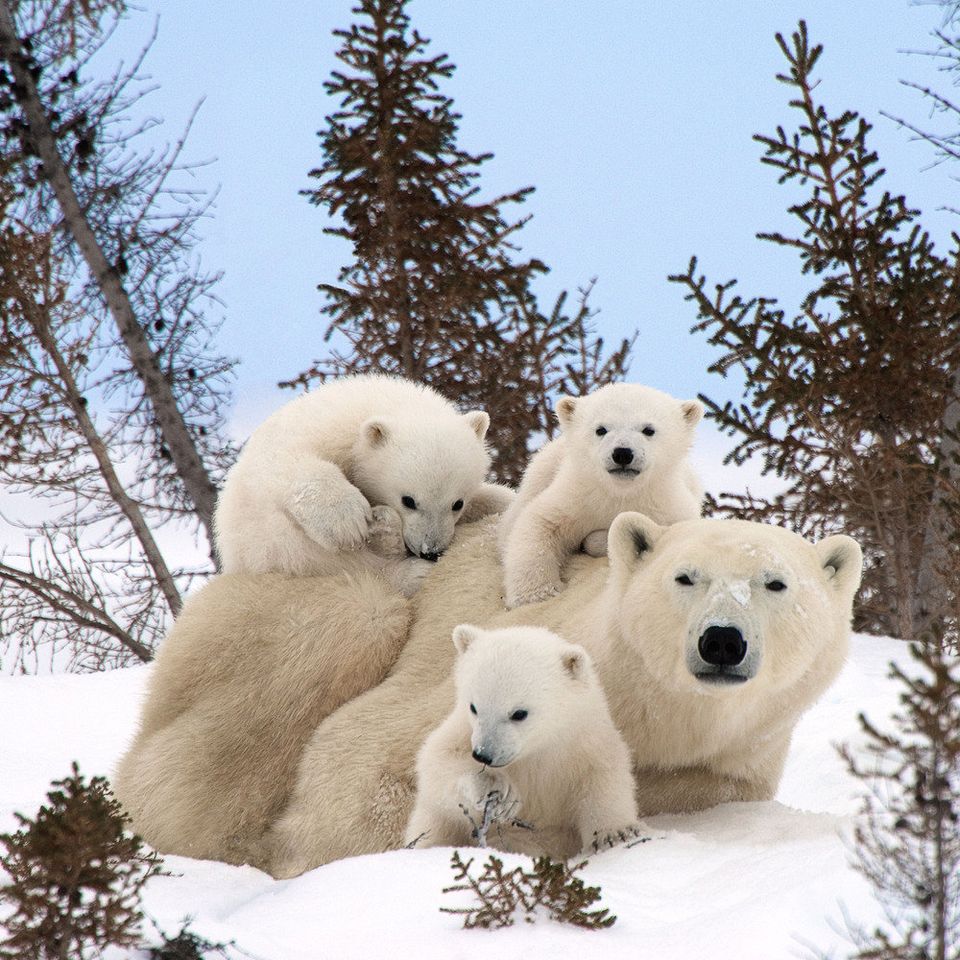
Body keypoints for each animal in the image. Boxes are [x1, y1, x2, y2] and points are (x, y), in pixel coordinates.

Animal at [210, 374, 510, 592]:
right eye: (409, 500)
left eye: (457, 503)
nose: (430, 551)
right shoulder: (313, 432)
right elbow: (288, 461)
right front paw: (347, 522)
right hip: (275, 547)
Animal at [402, 628, 640, 860]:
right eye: (473, 707)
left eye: (519, 713)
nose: (483, 754)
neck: (536, 750)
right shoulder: (461, 731)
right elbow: (437, 763)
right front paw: (497, 790)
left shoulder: (585, 742)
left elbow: (603, 777)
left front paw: (614, 834)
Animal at [498, 382, 700, 608]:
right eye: (600, 429)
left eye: (649, 429)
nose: (623, 453)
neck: (620, 493)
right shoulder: (577, 496)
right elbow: (540, 523)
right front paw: (536, 594)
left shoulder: (667, 507)